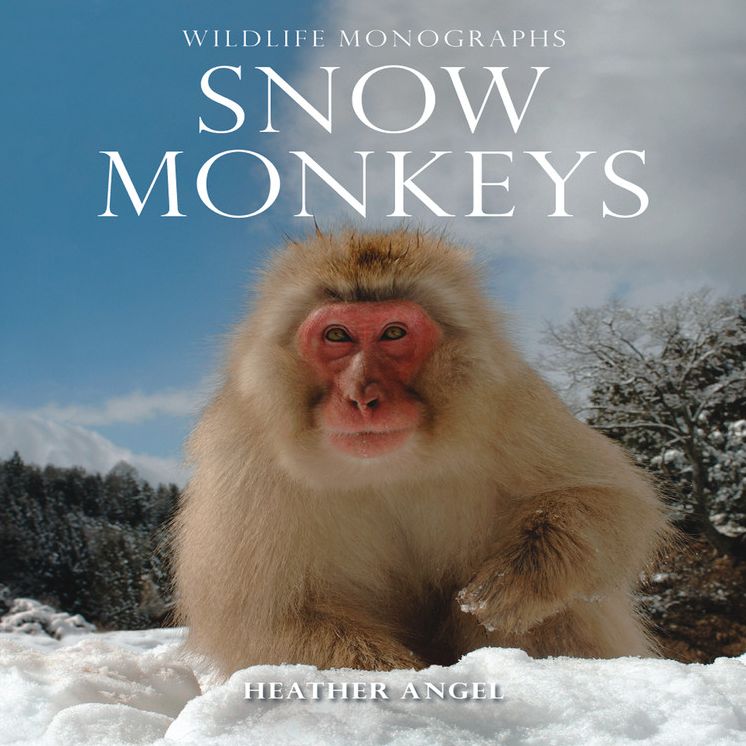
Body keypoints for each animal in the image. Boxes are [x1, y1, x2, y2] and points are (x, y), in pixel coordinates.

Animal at [172, 228, 670, 676]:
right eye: (337, 336)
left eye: (393, 333)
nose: (362, 396)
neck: (385, 468)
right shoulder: (243, 461)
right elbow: (263, 618)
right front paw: (399, 677)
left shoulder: (511, 405)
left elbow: (608, 500)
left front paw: (520, 580)